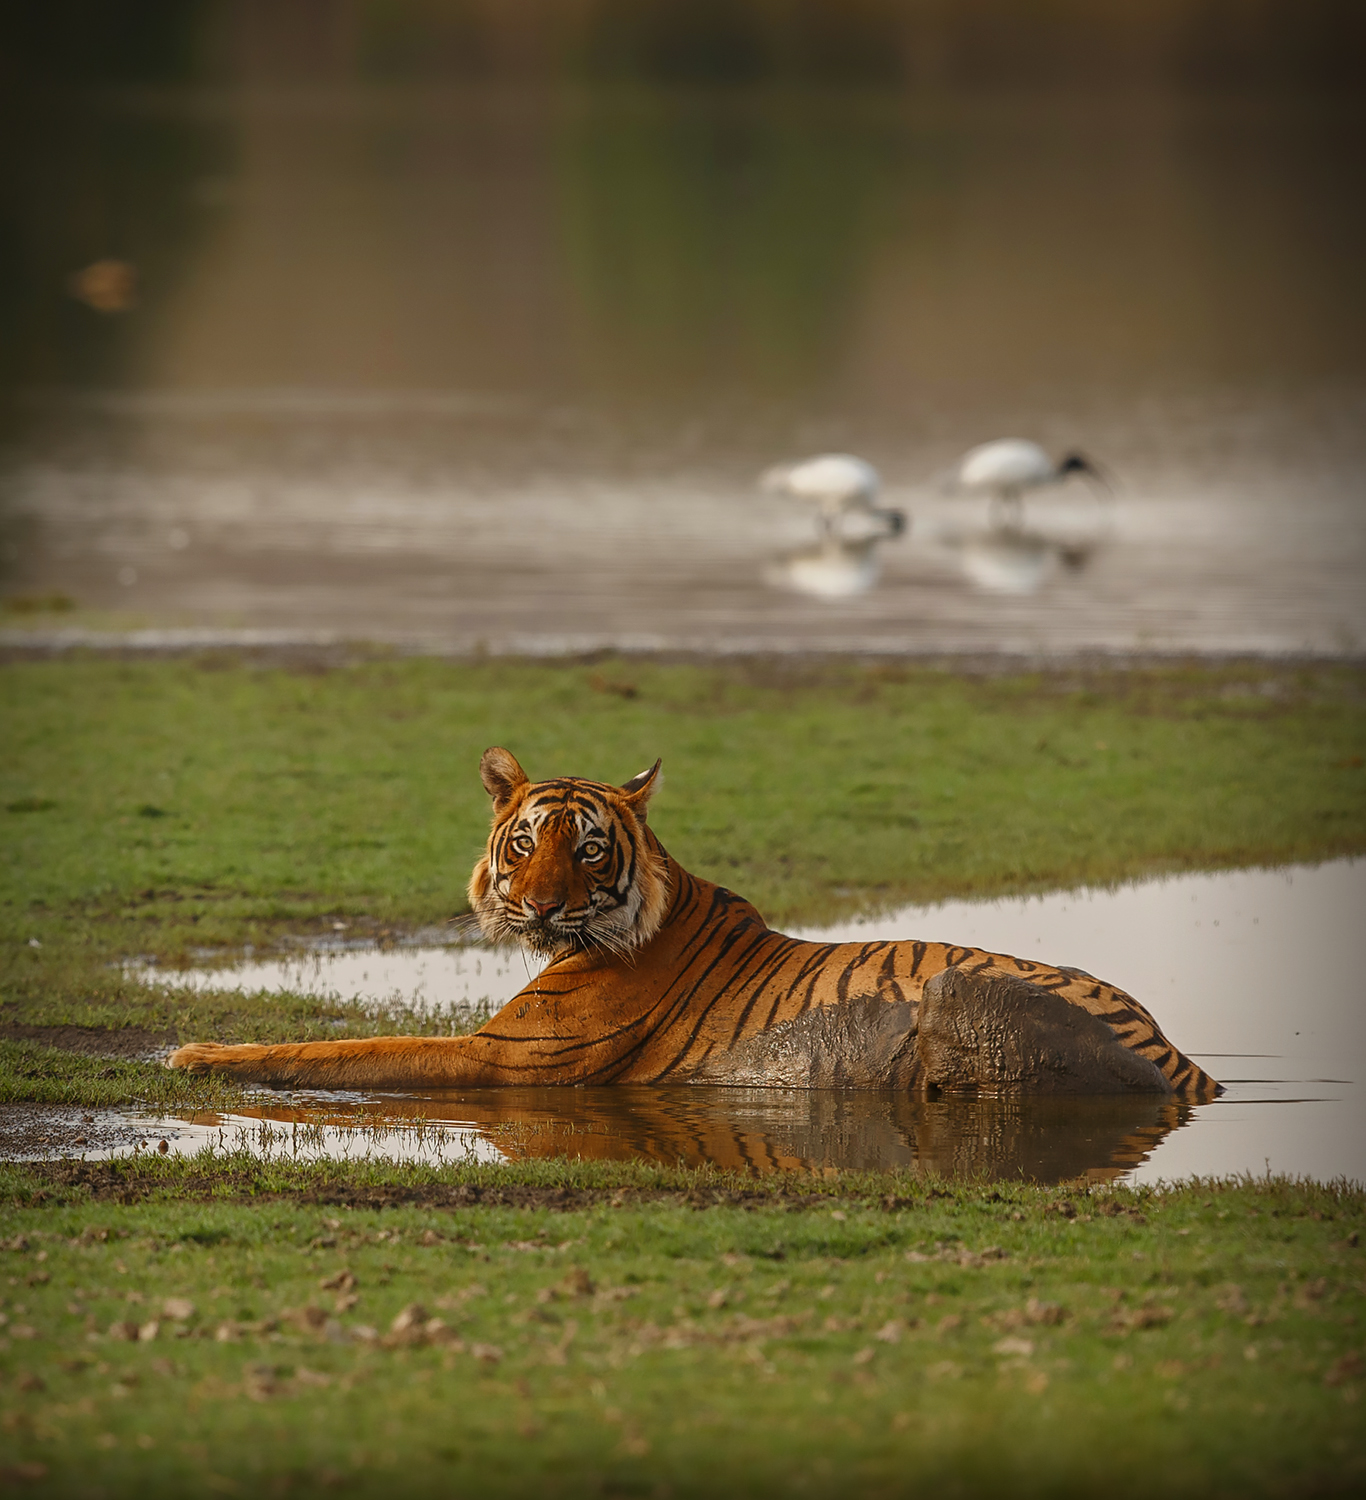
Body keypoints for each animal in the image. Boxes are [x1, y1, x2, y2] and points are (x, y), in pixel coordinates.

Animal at [169, 747, 1219, 1100]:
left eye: (589, 850)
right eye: (525, 843)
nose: (539, 904)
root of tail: (1177, 1053)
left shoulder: (502, 1057)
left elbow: (344, 1048)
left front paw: (196, 1054)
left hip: (964, 992)